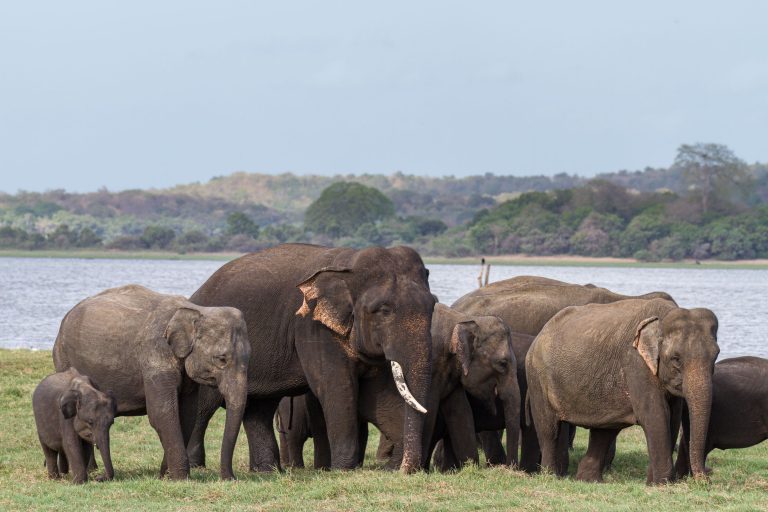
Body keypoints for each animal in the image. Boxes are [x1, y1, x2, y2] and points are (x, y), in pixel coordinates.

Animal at [52, 284, 250, 480]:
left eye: (248, 358)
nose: (230, 478)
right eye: (221, 359)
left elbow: (187, 414)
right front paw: (180, 478)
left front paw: (166, 475)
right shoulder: (154, 355)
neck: (196, 310)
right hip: (63, 358)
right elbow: (162, 413)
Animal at [185, 244, 436, 473]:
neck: (348, 263)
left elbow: (378, 394)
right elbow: (337, 388)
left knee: (259, 407)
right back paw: (197, 467)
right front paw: (343, 470)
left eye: (433, 305)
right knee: (205, 406)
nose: (403, 469)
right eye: (383, 310)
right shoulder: (312, 328)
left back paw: (268, 471)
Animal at [276, 303, 520, 472]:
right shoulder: (430, 365)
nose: (510, 468)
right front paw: (414, 469)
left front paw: (468, 467)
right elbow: (428, 412)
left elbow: (461, 413)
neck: (461, 318)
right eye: (502, 364)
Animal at [526, 298, 719, 484]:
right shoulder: (636, 363)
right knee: (549, 429)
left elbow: (673, 417)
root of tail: (540, 334)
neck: (662, 317)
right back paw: (551, 476)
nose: (706, 479)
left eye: (716, 355)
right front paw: (663, 484)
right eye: (676, 358)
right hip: (537, 378)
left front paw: (652, 483)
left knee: (603, 431)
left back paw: (589, 480)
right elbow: (656, 415)